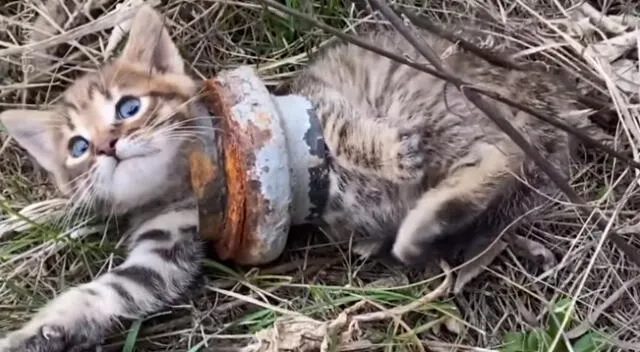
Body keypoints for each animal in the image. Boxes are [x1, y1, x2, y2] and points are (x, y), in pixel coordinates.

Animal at [1, 2, 608, 352]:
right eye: (78, 147)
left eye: (129, 107)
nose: (106, 146)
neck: (178, 180)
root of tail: (549, 89)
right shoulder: (165, 243)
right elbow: (117, 290)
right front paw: (42, 331)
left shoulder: (319, 112)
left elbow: (351, 136)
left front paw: (392, 159)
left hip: (448, 101)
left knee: (497, 156)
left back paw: (418, 219)